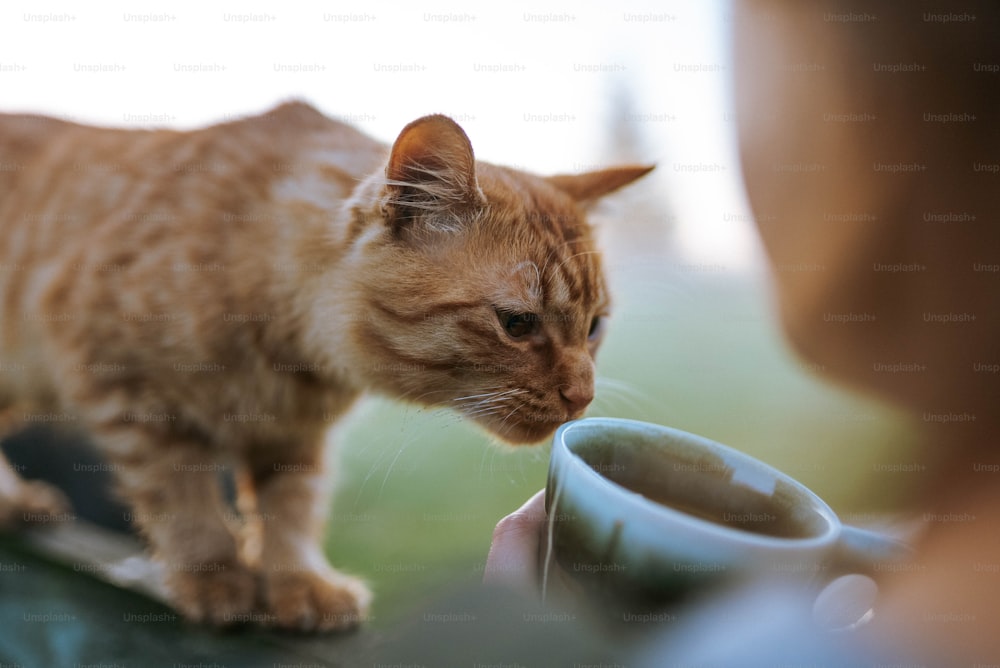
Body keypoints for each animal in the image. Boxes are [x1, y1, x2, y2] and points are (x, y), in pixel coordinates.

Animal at [0, 102, 652, 628]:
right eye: (517, 324)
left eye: (594, 327)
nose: (583, 395)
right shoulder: (122, 385)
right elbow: (181, 496)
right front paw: (215, 573)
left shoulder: (296, 435)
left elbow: (291, 509)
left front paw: (298, 581)